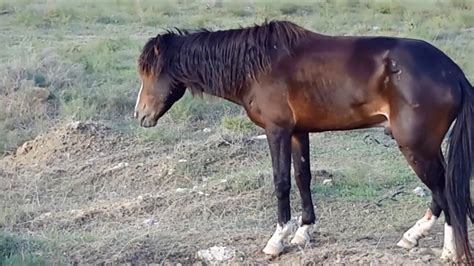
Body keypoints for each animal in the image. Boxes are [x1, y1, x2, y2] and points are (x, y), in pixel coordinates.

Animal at [133, 20, 474, 264]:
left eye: (150, 73)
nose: (140, 115)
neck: (257, 66)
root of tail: (452, 71)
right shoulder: (298, 133)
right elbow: (303, 177)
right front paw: (303, 232)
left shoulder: (277, 131)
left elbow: (282, 181)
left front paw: (277, 240)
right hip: (424, 147)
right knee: (442, 188)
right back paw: (413, 236)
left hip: (415, 146)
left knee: (445, 190)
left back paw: (449, 251)